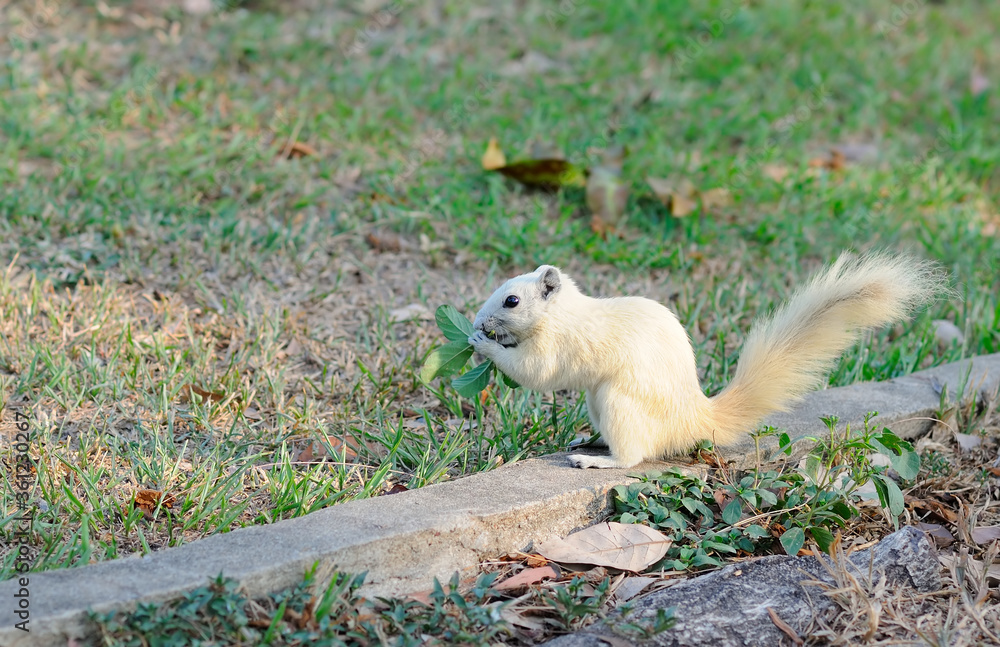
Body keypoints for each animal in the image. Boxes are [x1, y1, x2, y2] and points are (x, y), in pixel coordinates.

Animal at [468, 252, 946, 469]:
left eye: (512, 300)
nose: (478, 319)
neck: (562, 313)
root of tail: (694, 419)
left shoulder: (558, 345)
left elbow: (536, 373)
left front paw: (481, 343)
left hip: (620, 402)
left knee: (634, 457)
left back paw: (599, 460)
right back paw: (590, 442)